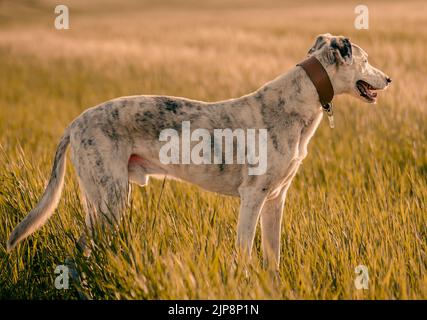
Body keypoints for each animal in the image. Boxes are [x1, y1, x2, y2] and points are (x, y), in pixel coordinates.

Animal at [5, 33, 392, 268]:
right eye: (366, 59)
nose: (389, 79)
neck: (300, 101)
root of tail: (75, 122)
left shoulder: (275, 199)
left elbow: (273, 256)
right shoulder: (253, 196)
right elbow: (244, 251)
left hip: (100, 198)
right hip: (109, 199)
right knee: (84, 247)